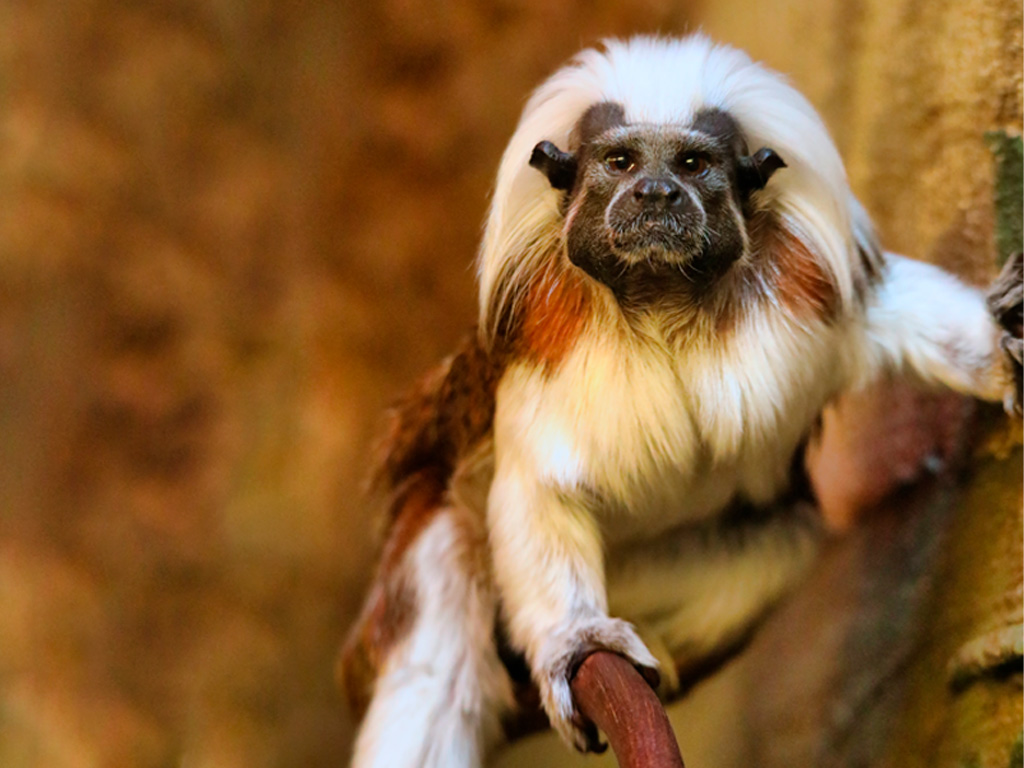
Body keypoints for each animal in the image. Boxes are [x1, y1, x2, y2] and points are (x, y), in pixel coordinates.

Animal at [339, 35, 1022, 768]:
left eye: (693, 164)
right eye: (621, 162)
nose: (656, 191)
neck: (663, 304)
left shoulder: (811, 287)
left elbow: (906, 314)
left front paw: (1001, 343)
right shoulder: (538, 338)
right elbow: (539, 492)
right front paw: (578, 642)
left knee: (778, 545)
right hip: (439, 544)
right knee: (433, 665)